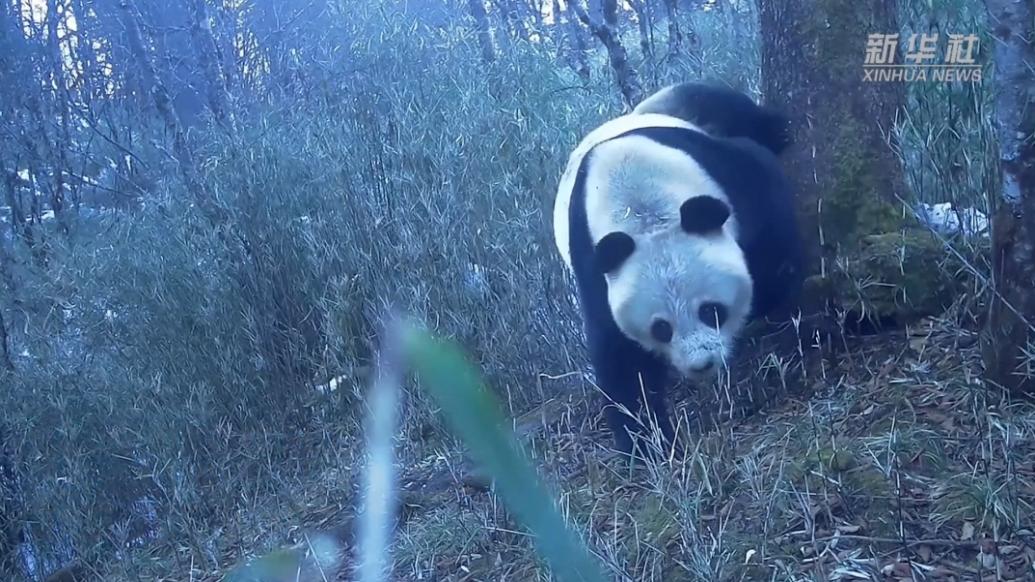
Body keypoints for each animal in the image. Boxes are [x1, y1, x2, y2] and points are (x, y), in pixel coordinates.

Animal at [554, 81, 803, 455]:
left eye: (711, 310)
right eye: (661, 328)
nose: (702, 364)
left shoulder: (720, 173)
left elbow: (769, 217)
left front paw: (768, 292)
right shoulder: (594, 265)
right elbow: (621, 356)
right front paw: (645, 445)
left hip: (683, 104)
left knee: (726, 105)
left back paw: (779, 130)